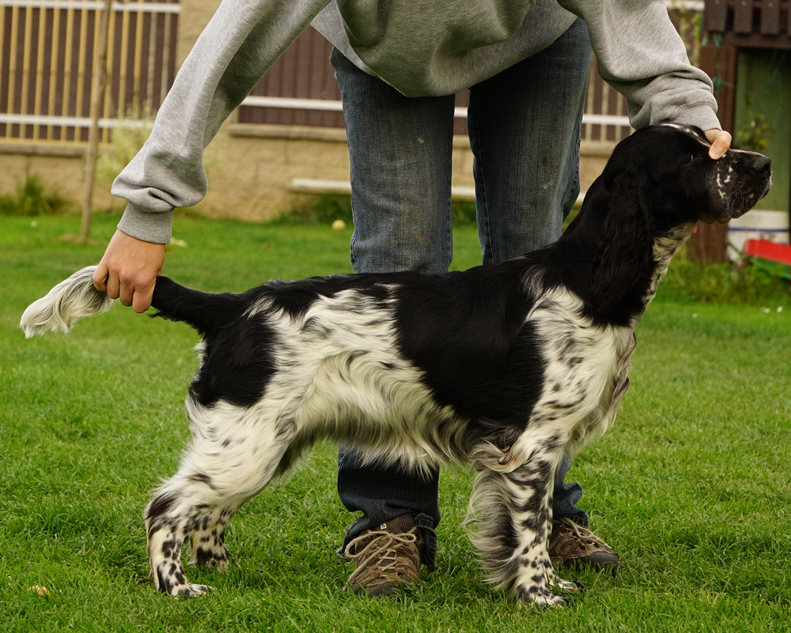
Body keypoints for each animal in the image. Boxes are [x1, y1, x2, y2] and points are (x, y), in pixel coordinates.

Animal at [20, 126, 772, 604]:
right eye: (696, 157)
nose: (763, 164)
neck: (586, 279)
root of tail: (234, 306)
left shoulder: (522, 453)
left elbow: (511, 531)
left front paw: (545, 583)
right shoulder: (530, 447)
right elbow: (529, 533)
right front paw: (539, 596)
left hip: (265, 444)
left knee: (204, 513)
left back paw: (222, 570)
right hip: (248, 443)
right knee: (166, 506)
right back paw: (177, 588)